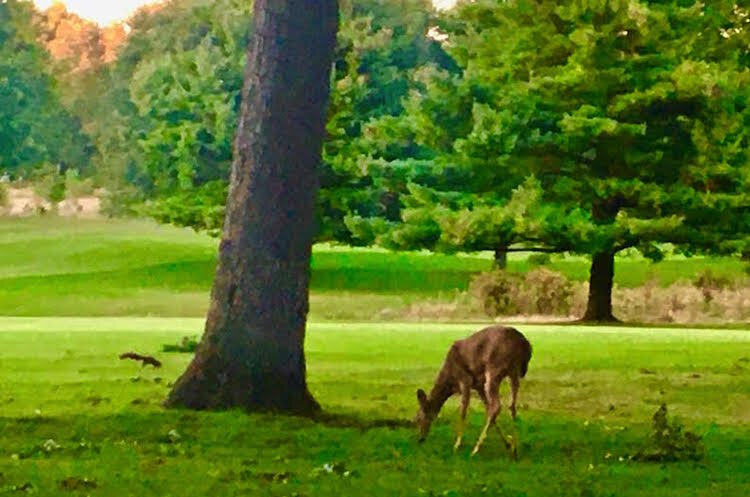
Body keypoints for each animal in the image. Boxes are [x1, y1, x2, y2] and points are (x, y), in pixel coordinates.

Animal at [418, 324, 536, 456]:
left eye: (420, 416)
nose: (420, 438)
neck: (450, 382)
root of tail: (524, 344)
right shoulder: (478, 386)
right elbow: (487, 408)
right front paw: (507, 444)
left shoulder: (465, 380)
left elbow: (463, 411)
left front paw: (457, 445)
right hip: (513, 372)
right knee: (511, 406)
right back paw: (514, 450)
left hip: (494, 368)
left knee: (497, 406)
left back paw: (476, 449)